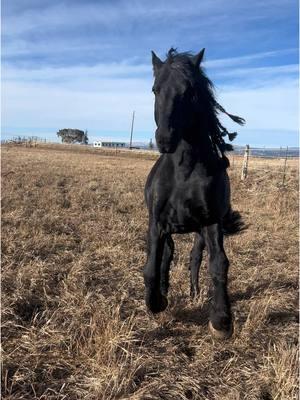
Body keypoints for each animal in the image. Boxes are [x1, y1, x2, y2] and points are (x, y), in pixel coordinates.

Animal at [144, 48, 245, 340]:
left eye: (189, 91)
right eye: (155, 89)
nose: (165, 139)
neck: (184, 172)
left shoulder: (211, 223)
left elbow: (218, 264)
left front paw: (221, 320)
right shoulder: (157, 223)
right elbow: (151, 267)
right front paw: (158, 301)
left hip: (199, 232)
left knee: (194, 258)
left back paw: (195, 292)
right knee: (168, 255)